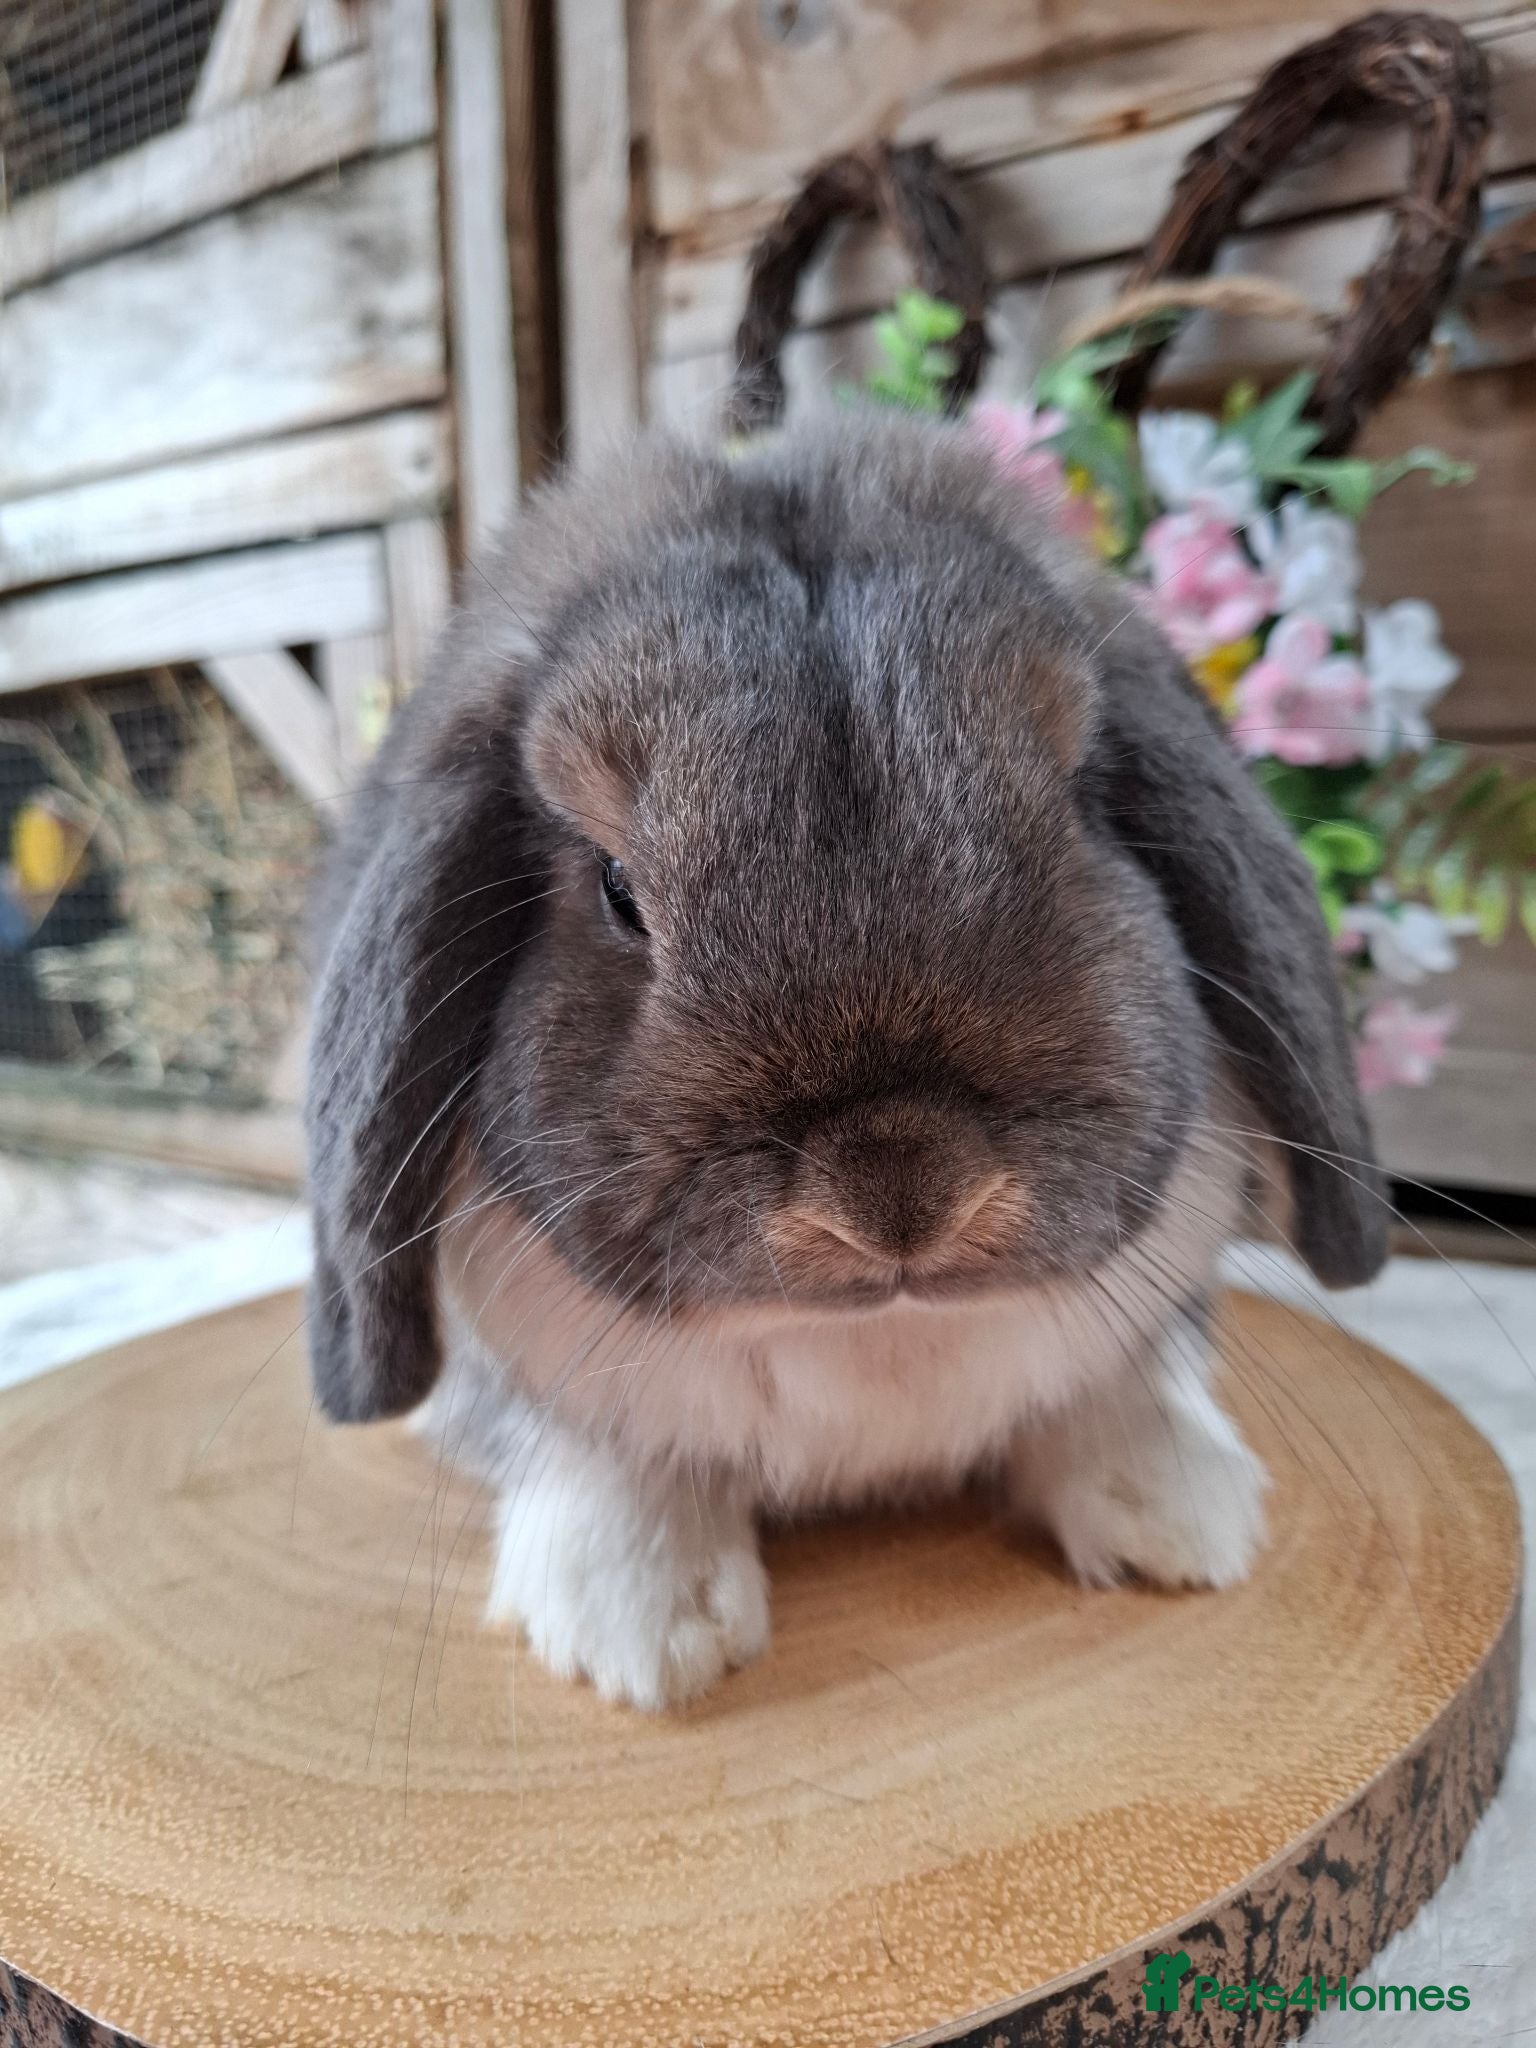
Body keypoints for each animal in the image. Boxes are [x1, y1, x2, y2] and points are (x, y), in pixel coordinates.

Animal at [306, 410, 1387, 1710]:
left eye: (1082, 813)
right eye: (616, 891)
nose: (900, 1192)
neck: (873, 1338)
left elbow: (1118, 1390)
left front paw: (1180, 1521)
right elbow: (592, 1446)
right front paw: (643, 1629)